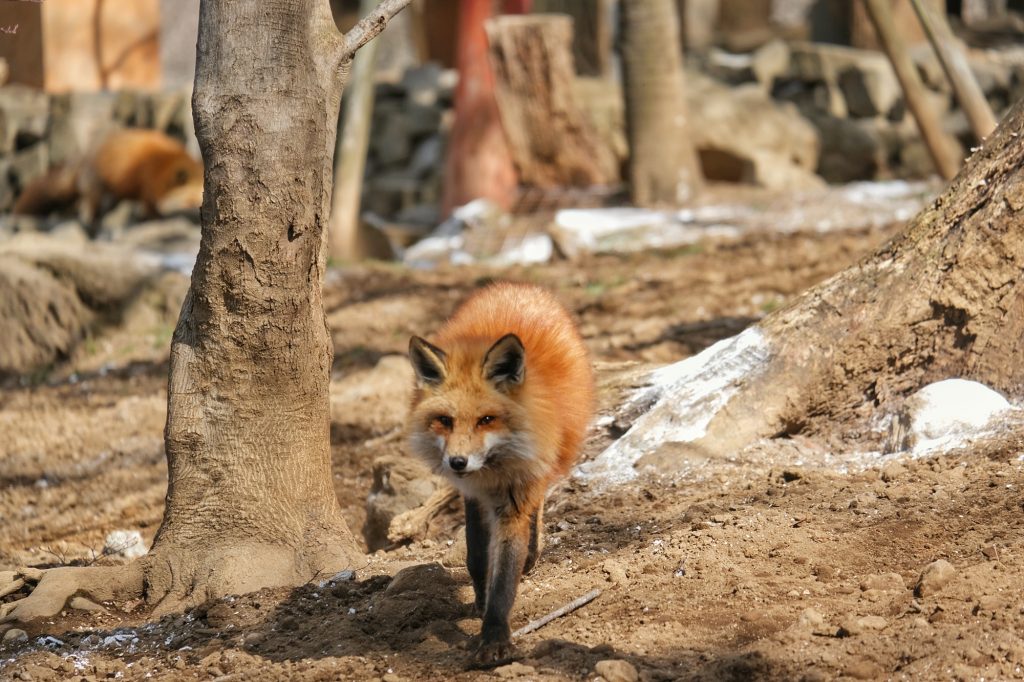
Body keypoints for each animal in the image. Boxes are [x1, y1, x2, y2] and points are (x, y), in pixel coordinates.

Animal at [407, 282, 595, 666]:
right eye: (445, 420)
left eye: (486, 420)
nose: (458, 462)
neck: (493, 469)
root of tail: (520, 287)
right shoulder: (473, 494)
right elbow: (477, 556)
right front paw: (480, 603)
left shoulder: (516, 497)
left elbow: (505, 577)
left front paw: (495, 636)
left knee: (539, 506)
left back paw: (533, 553)